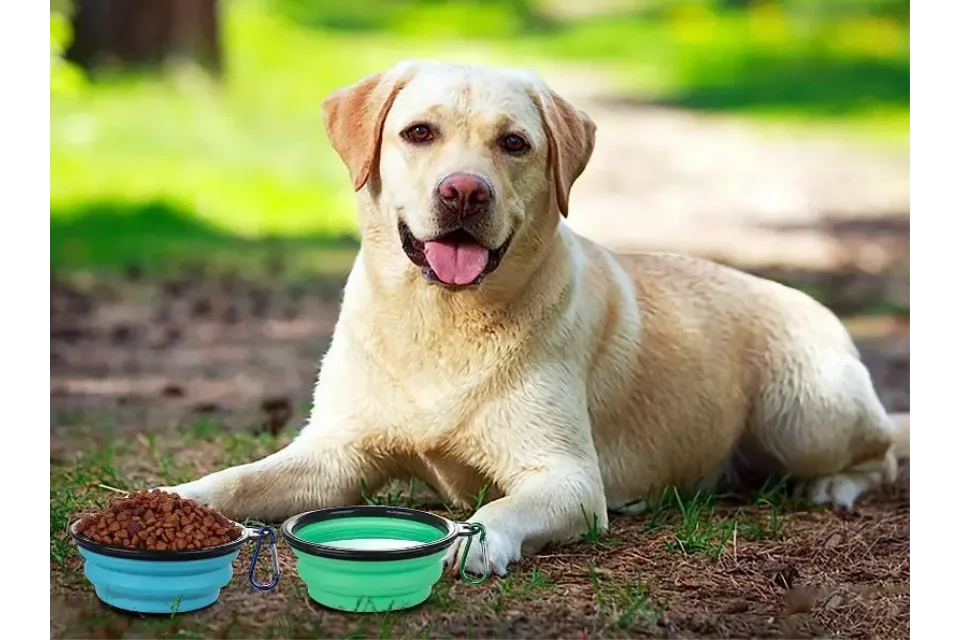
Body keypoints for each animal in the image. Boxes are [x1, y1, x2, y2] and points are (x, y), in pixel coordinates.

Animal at [161, 62, 912, 576]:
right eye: (418, 133)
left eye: (515, 144)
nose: (465, 191)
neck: (441, 319)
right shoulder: (332, 455)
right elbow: (236, 479)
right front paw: (169, 500)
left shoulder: (567, 477)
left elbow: (503, 506)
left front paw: (477, 540)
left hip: (804, 416)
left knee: (880, 451)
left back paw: (835, 484)